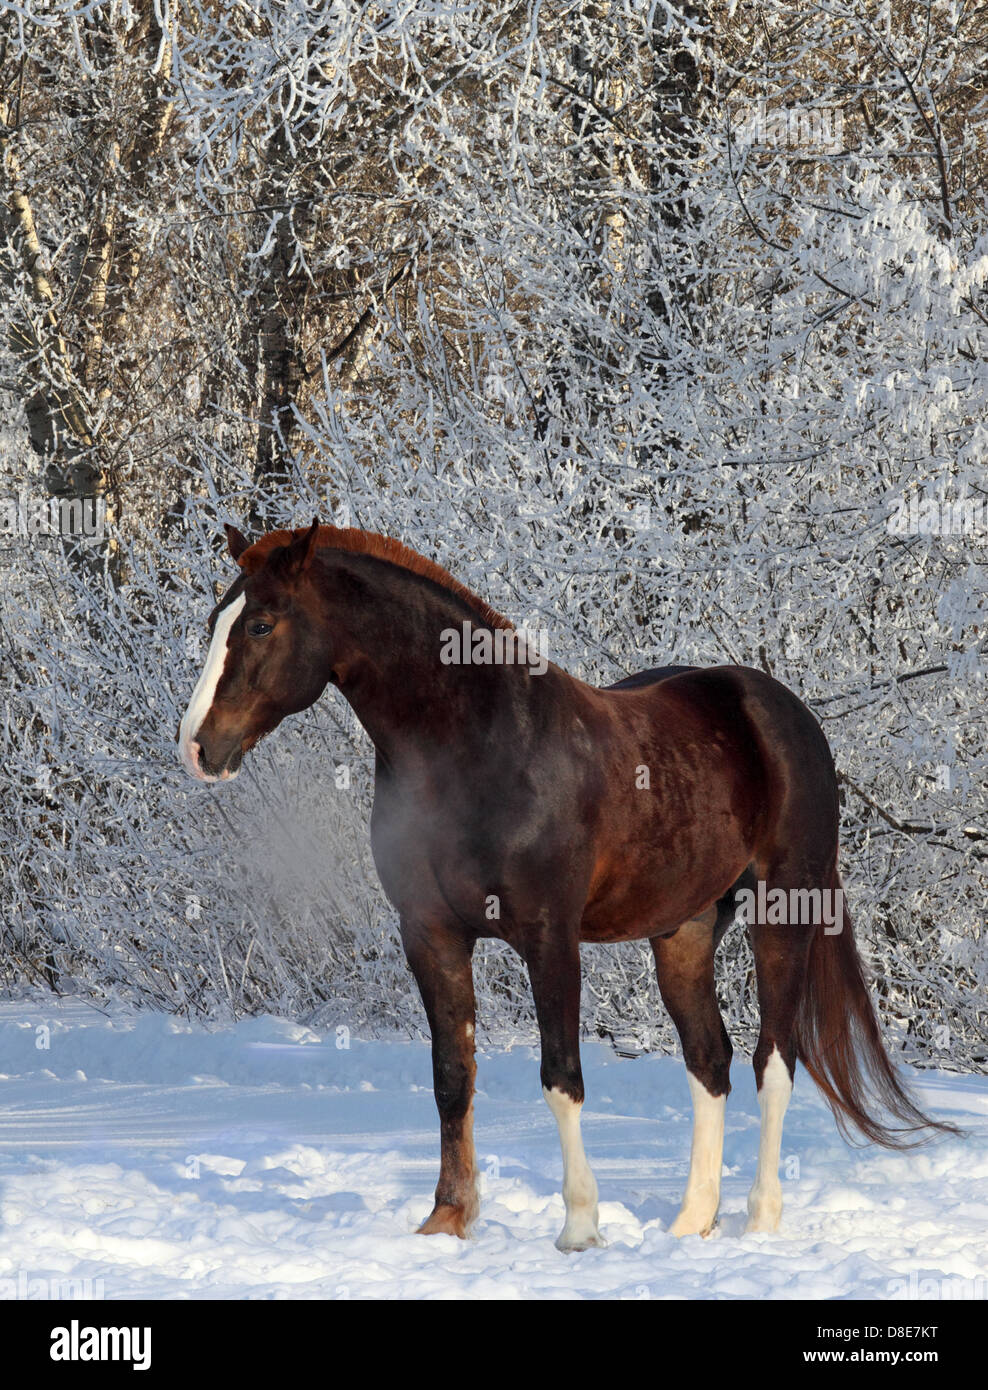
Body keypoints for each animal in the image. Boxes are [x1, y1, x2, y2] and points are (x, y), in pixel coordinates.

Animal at [178, 518, 956, 1251]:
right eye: (216, 618)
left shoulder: (548, 936)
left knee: (775, 1061)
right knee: (710, 1061)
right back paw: (689, 1224)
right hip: (684, 931)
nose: (198, 747)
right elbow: (450, 1076)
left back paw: (760, 1221)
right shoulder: (430, 933)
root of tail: (782, 712)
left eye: (260, 624)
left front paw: (580, 1229)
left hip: (783, 913)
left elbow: (561, 1077)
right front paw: (448, 1220)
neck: (480, 746)